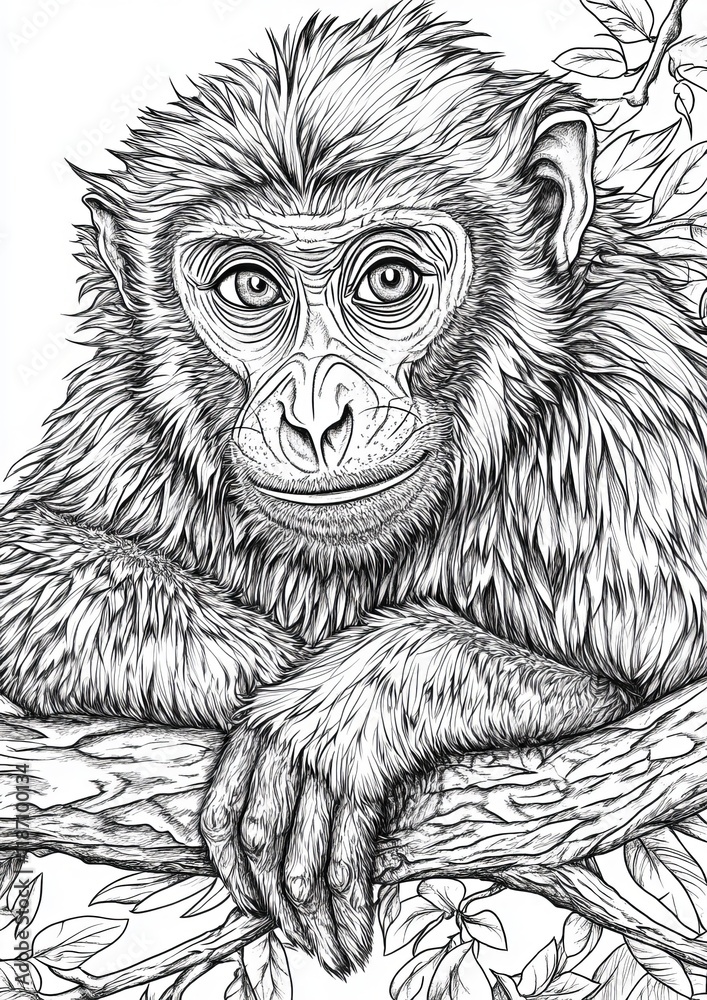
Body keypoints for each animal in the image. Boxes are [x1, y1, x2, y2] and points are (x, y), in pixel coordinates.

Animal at [2, 0, 706, 978]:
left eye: (389, 279)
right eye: (250, 286)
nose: (314, 416)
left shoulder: (631, 421)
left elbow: (637, 680)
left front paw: (347, 702)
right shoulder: (126, 407)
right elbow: (24, 555)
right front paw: (265, 671)